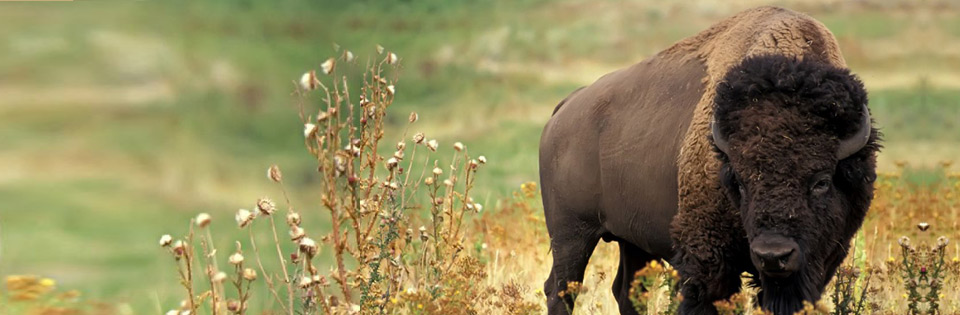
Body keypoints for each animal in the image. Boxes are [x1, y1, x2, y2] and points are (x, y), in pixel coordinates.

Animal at [540, 5, 876, 315]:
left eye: (821, 181)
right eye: (739, 181)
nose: (773, 255)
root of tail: (565, 108)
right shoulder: (707, 259)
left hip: (631, 240)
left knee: (626, 291)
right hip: (572, 234)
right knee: (561, 289)